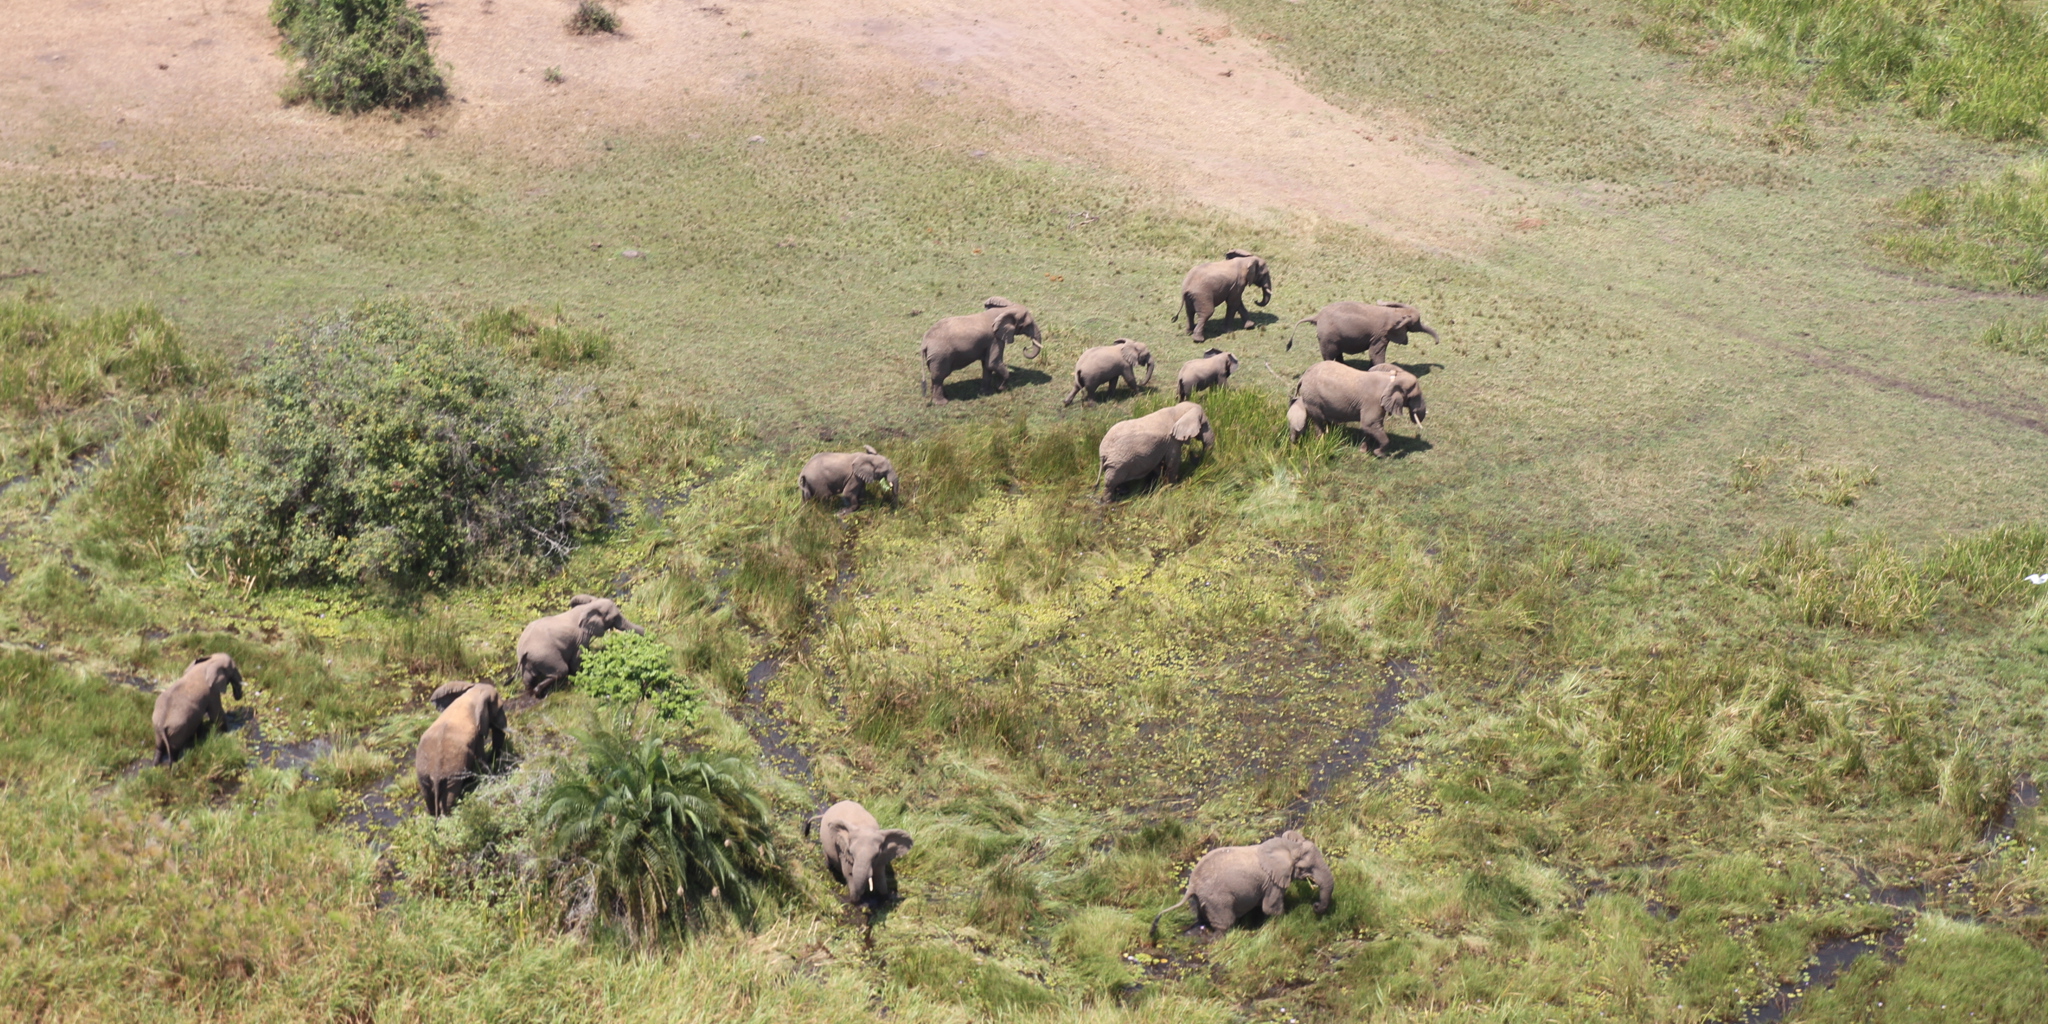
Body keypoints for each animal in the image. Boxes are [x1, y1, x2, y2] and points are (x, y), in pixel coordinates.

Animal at [415, 681, 506, 816]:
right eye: (500, 708)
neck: (472, 694)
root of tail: (435, 773)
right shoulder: (476, 734)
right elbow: (480, 757)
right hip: (453, 773)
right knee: (450, 796)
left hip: (423, 774)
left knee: (429, 797)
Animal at [516, 594, 644, 698]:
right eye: (614, 618)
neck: (586, 608)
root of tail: (524, 650)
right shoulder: (581, 637)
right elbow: (577, 658)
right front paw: (580, 677)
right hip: (546, 655)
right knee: (562, 670)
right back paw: (540, 692)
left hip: (529, 660)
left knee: (528, 678)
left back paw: (532, 693)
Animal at [1149, 830, 1334, 942]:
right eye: (1305, 868)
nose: (1315, 906)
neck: (1288, 846)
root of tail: (1192, 885)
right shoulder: (1272, 882)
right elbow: (1270, 907)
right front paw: (1285, 917)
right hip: (1218, 899)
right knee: (1225, 922)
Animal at [1287, 360, 1427, 457]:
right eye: (1415, 396)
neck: (1391, 379)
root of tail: (1303, 377)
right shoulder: (1373, 402)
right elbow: (1370, 425)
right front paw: (1378, 454)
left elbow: (1368, 427)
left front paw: (1363, 451)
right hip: (1313, 398)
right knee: (1318, 420)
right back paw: (1321, 442)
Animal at [1288, 301, 1439, 366]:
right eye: (1415, 324)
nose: (1437, 342)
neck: (1394, 313)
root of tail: (1317, 317)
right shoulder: (1380, 335)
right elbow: (1376, 354)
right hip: (1327, 337)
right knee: (1329, 355)